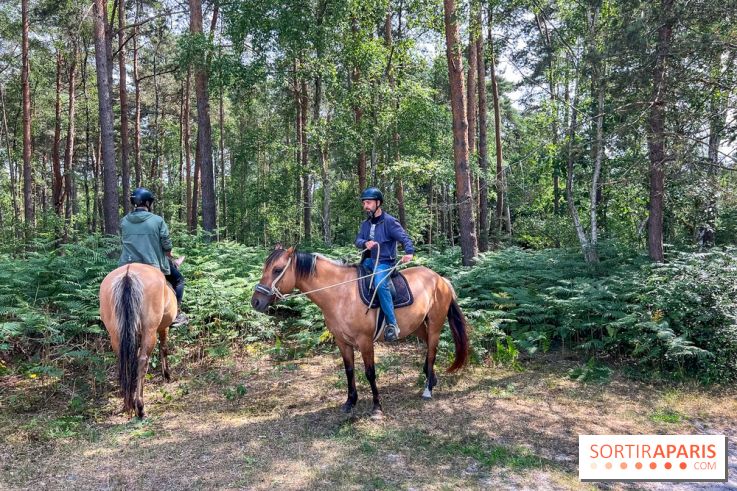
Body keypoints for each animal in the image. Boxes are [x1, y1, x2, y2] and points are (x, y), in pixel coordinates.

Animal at [99, 259, 181, 418]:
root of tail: (128, 275)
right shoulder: (163, 328)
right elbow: (164, 349)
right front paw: (167, 375)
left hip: (116, 334)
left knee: (125, 361)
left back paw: (128, 404)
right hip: (149, 331)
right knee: (143, 361)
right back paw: (140, 407)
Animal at [250, 246, 469, 417]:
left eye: (277, 269)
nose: (256, 302)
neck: (340, 294)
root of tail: (440, 279)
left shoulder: (365, 342)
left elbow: (370, 373)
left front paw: (377, 407)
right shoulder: (342, 341)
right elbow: (349, 371)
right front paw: (350, 402)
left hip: (435, 324)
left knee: (432, 351)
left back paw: (428, 388)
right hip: (416, 326)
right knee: (428, 349)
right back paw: (431, 378)